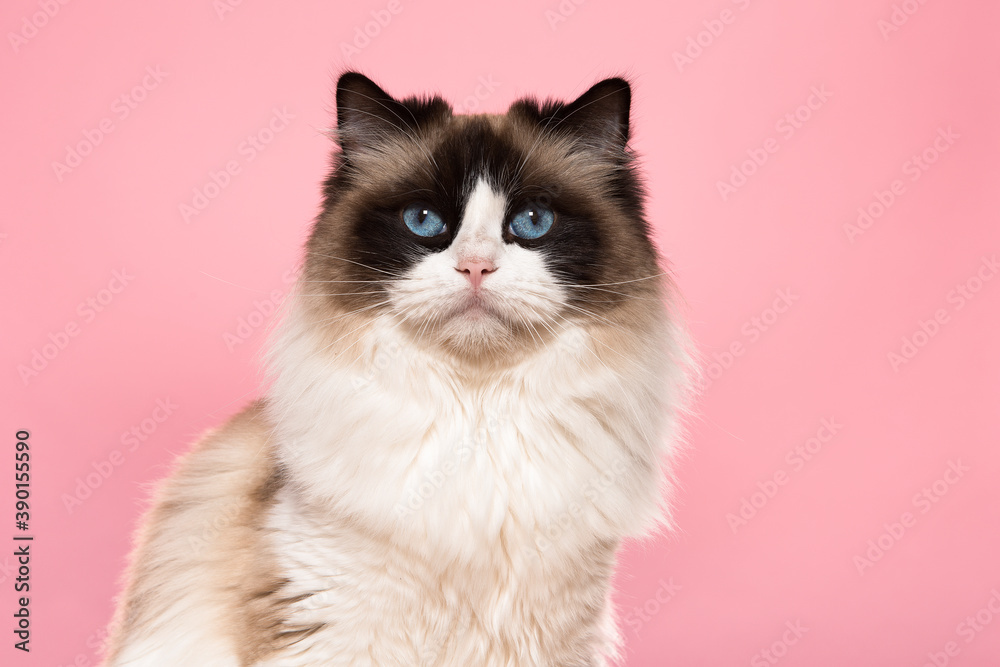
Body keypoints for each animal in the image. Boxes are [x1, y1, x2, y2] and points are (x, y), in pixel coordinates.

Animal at [105, 70, 692, 664]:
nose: (475, 266)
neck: (478, 415)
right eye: (423, 221)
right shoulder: (332, 634)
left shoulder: (552, 637)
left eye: (532, 221)